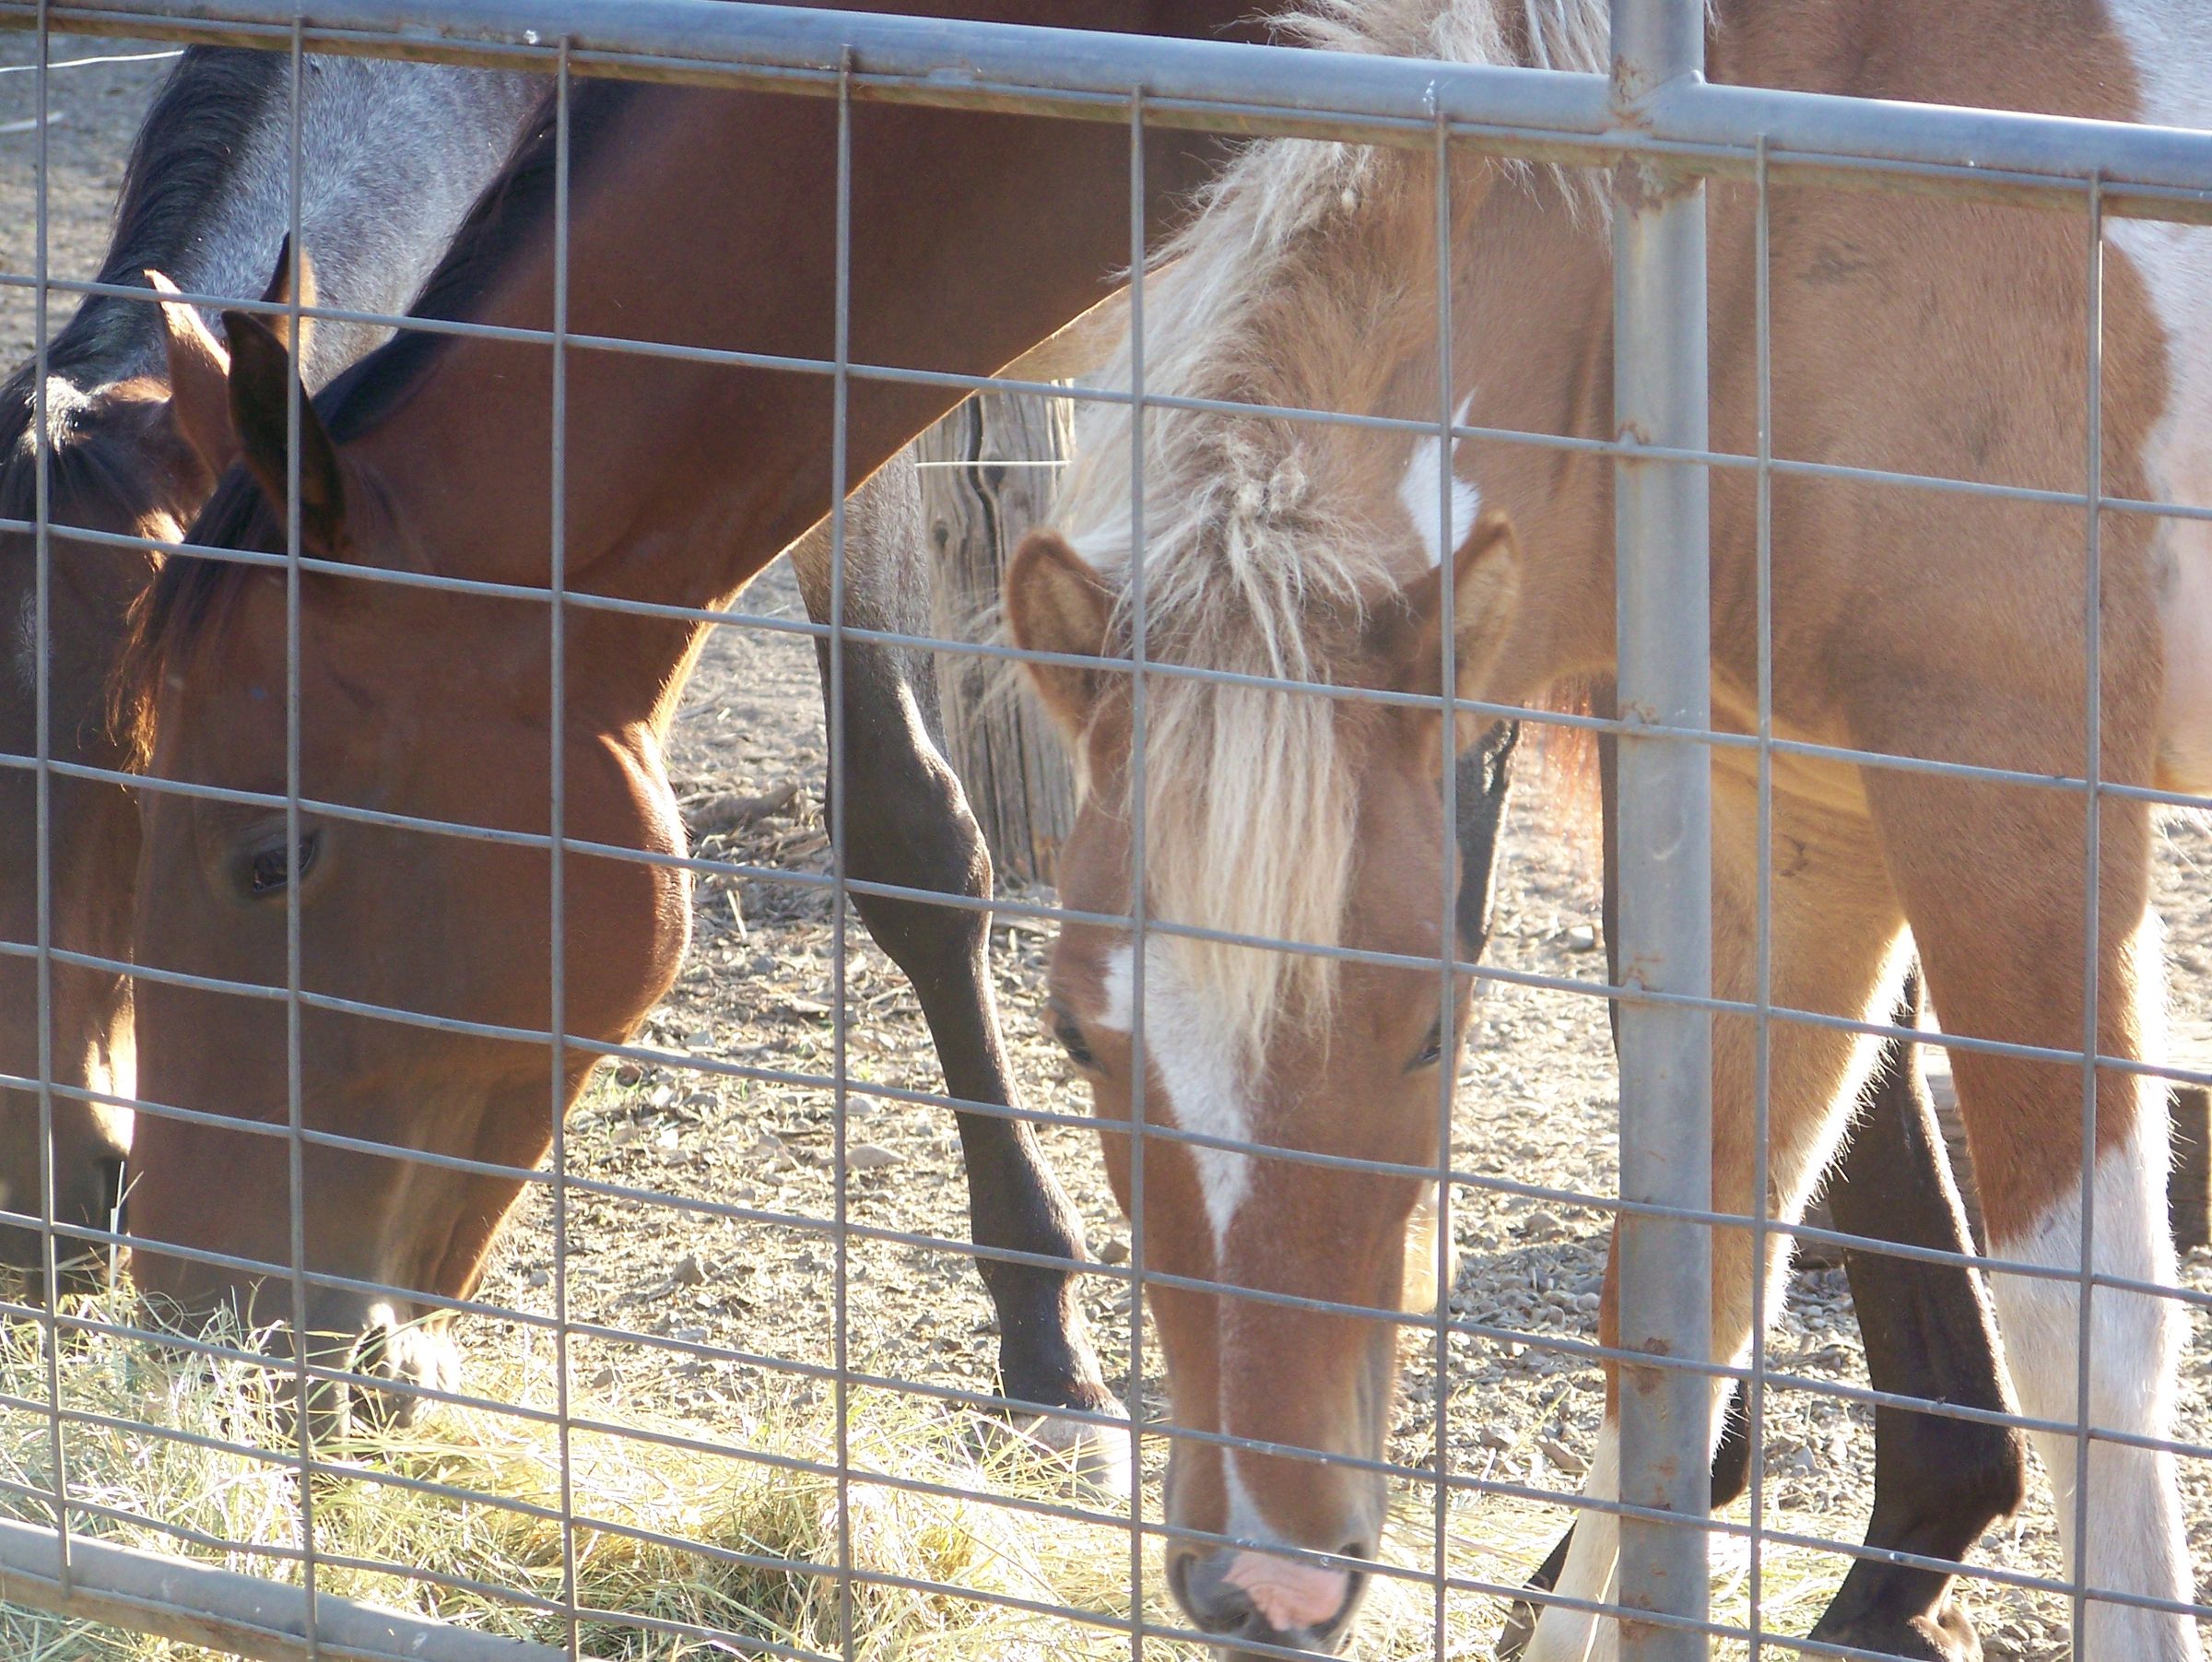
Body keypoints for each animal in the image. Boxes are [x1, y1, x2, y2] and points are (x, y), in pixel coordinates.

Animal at [1003, 0, 2207, 1656]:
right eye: (1074, 1033)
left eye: (1434, 1033)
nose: (1266, 1578)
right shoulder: (1795, 827)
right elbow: (1679, 1296)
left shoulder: (2011, 799)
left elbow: (2089, 1336)